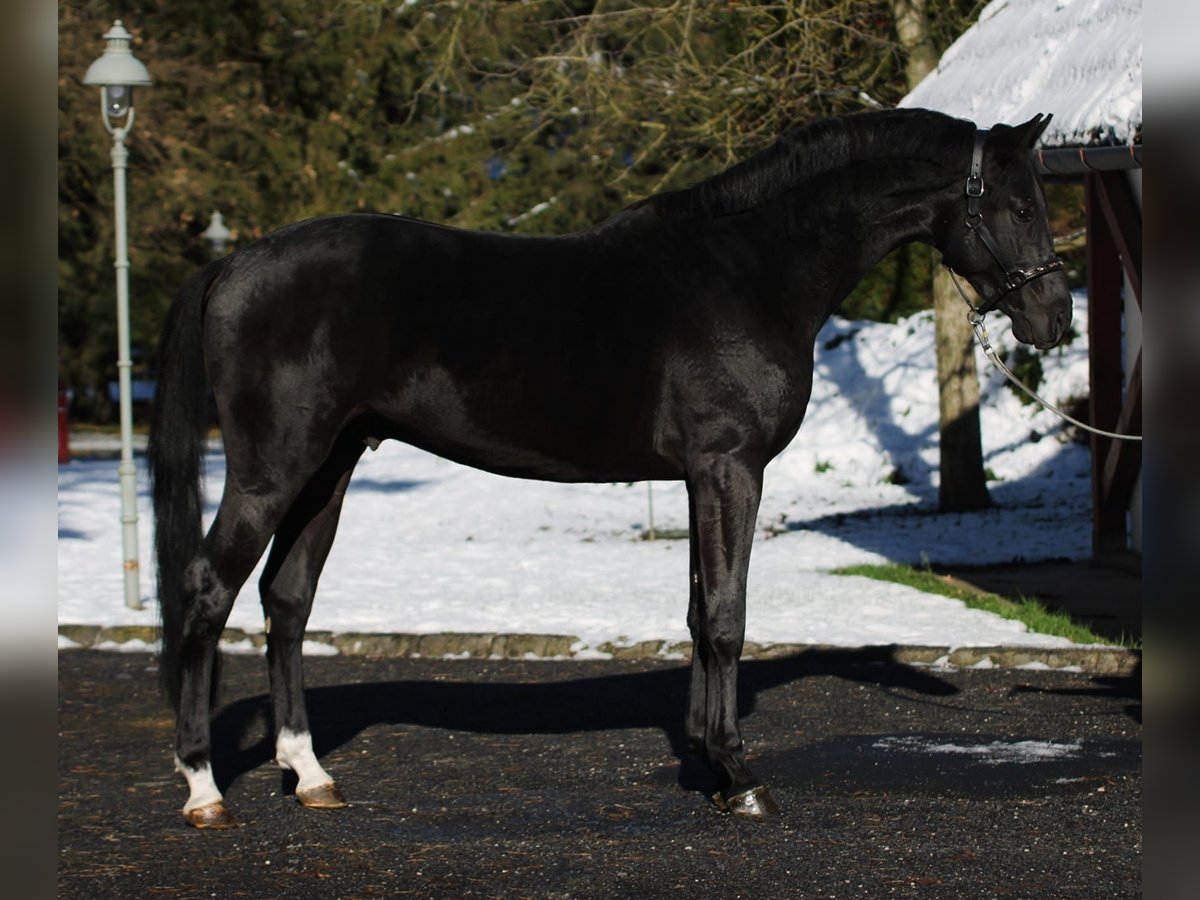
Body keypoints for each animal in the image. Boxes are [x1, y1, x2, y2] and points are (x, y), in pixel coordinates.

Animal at [147, 109, 1070, 830]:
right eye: (1019, 204)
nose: (1054, 317)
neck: (752, 268)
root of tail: (237, 263)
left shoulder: (700, 476)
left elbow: (700, 614)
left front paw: (709, 765)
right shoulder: (731, 468)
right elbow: (727, 618)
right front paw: (742, 777)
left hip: (329, 469)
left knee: (286, 602)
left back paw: (310, 776)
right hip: (272, 472)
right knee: (206, 591)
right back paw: (202, 788)